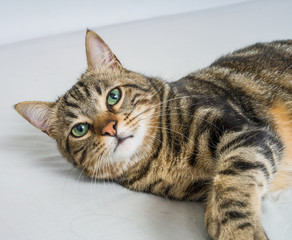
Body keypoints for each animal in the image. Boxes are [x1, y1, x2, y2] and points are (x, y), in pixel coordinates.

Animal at [14, 30, 292, 240]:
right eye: (79, 130)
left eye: (113, 96)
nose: (110, 128)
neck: (161, 157)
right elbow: (220, 190)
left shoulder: (245, 132)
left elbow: (231, 187)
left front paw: (238, 232)